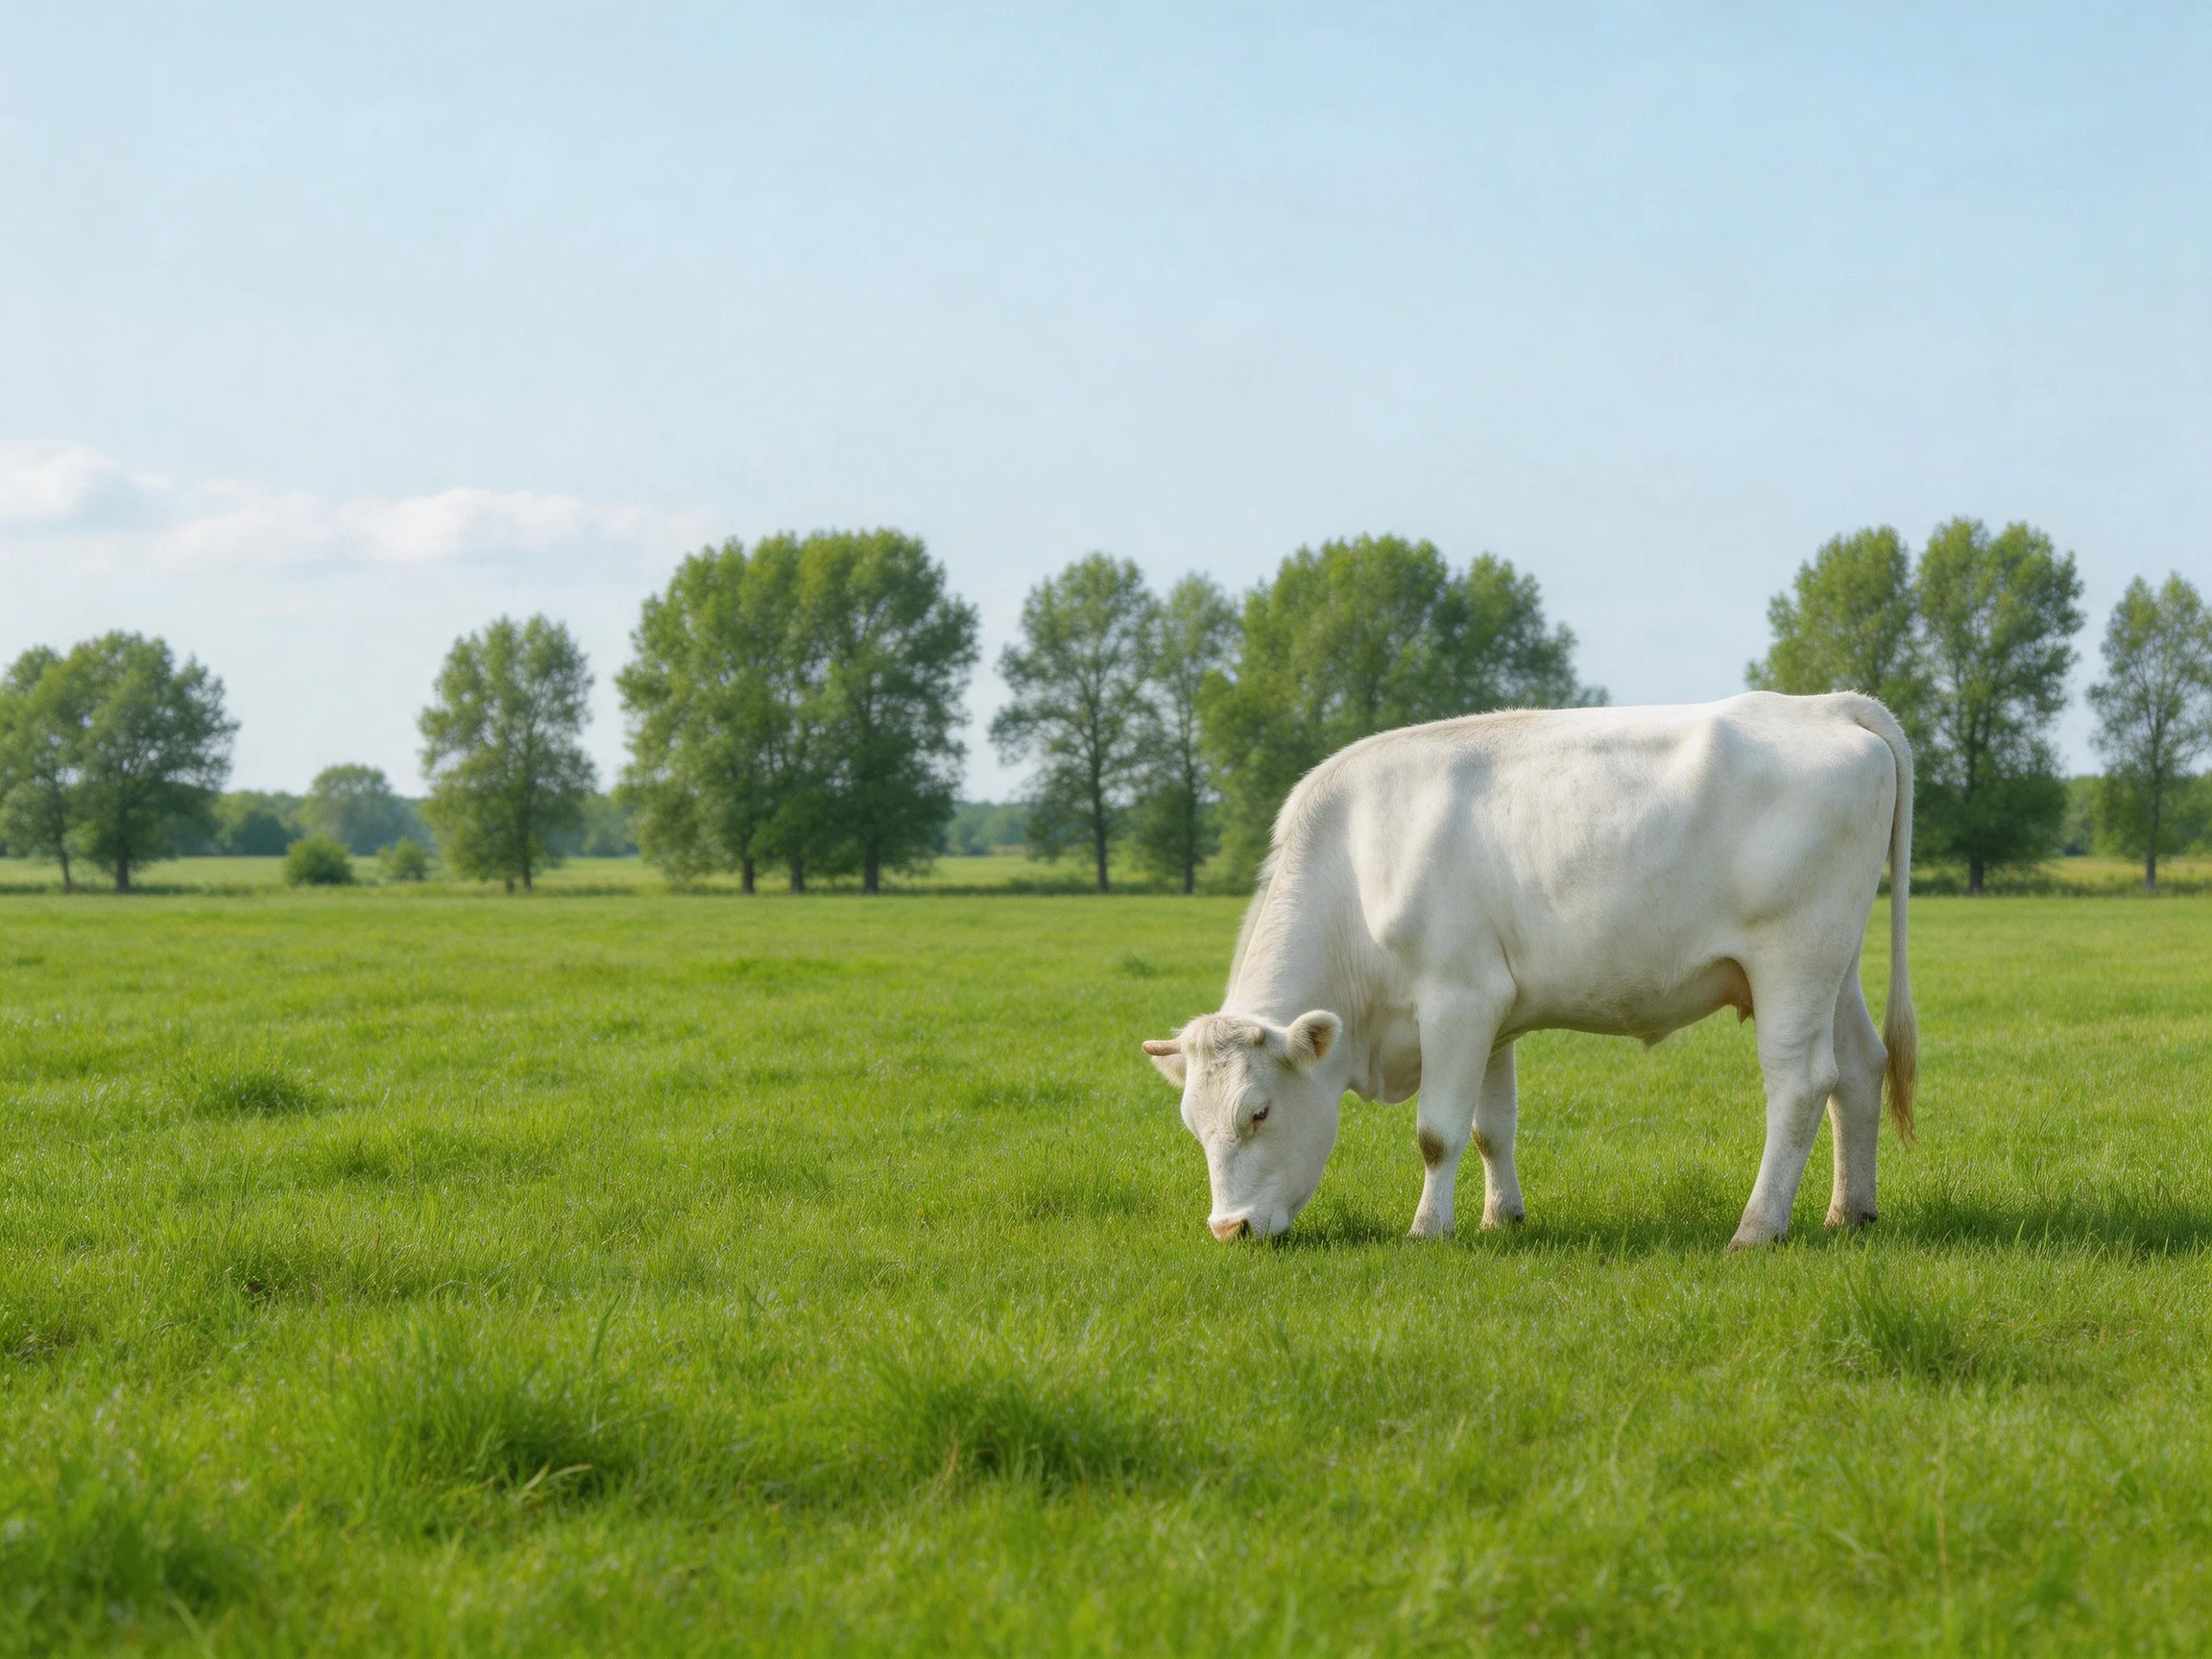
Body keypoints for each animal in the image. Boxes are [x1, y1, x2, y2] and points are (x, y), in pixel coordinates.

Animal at [1141, 691, 1916, 1250]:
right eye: (1192, 1126)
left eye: (1259, 1111)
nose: (1229, 1229)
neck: (1356, 866)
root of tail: (1827, 704)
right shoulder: (1494, 1011)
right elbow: (1492, 1128)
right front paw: (1500, 1218)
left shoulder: (1456, 998)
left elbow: (1438, 1133)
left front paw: (1427, 1232)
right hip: (1835, 964)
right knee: (1859, 1068)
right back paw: (1851, 1212)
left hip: (1792, 959)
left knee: (1800, 1084)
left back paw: (1756, 1229)